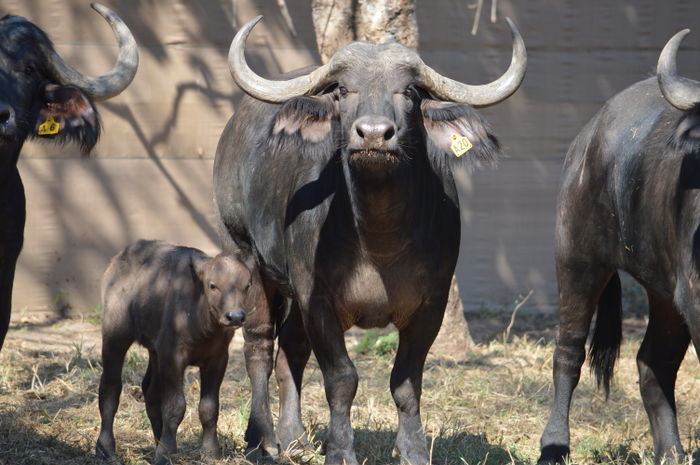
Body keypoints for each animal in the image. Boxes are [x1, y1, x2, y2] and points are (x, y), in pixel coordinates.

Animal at [95, 240, 259, 465]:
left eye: (247, 285)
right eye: (213, 285)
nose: (235, 316)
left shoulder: (217, 359)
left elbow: (209, 407)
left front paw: (211, 452)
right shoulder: (173, 358)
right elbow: (175, 406)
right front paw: (166, 454)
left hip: (155, 351)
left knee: (150, 392)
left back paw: (158, 442)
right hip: (115, 334)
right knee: (110, 387)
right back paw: (105, 448)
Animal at [213, 16, 527, 465]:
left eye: (409, 91)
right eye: (344, 90)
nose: (375, 134)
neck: (380, 241)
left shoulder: (431, 304)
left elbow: (406, 382)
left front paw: (413, 450)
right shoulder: (318, 300)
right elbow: (342, 379)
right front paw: (341, 451)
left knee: (290, 349)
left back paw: (294, 439)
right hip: (246, 255)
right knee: (258, 345)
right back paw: (262, 440)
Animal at [539, 30, 700, 465]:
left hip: (664, 291)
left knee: (653, 362)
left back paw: (671, 452)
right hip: (576, 258)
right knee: (568, 352)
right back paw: (553, 446)